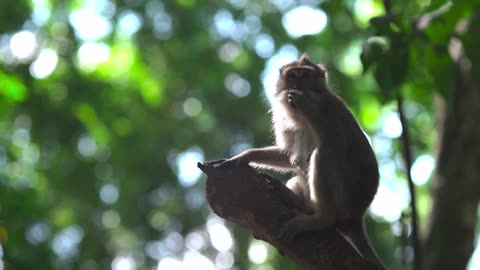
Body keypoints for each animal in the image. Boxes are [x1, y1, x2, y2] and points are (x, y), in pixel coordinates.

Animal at [221, 53, 382, 266]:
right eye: (292, 76)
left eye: (305, 76)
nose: (296, 85)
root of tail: (356, 216)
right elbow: (287, 154)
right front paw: (246, 156)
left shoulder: (330, 107)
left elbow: (336, 141)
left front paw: (305, 104)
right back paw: (296, 200)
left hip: (343, 201)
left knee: (325, 153)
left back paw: (321, 219)